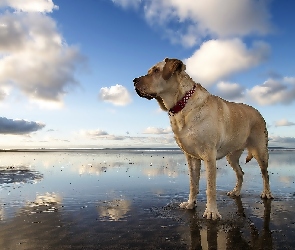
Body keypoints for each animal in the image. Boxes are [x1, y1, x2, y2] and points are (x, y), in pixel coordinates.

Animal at [134, 58, 276, 219]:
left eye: (156, 71)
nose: (134, 81)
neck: (182, 105)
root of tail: (258, 112)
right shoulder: (191, 157)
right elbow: (193, 183)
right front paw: (190, 203)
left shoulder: (209, 155)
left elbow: (210, 187)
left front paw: (211, 211)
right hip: (232, 156)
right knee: (240, 173)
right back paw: (236, 191)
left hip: (261, 151)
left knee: (265, 174)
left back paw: (266, 193)